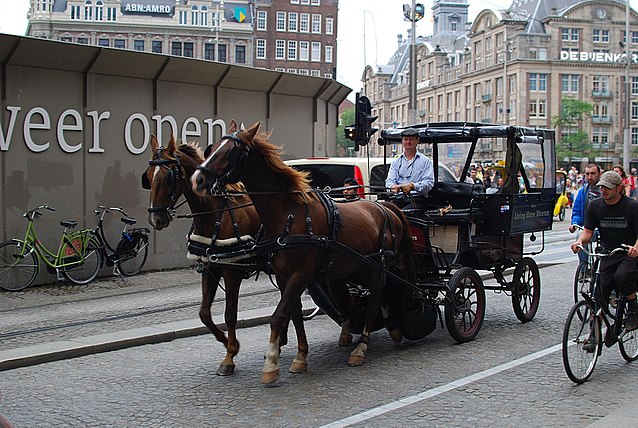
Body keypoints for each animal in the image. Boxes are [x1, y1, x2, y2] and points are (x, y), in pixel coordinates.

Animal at [141, 130, 262, 374]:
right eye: (148, 177)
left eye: (168, 178)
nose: (155, 219)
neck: (215, 214)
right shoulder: (209, 268)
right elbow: (204, 313)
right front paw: (227, 343)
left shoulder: (232, 272)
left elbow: (230, 315)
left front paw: (229, 356)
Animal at [190, 121, 416, 384]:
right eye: (212, 148)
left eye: (230, 152)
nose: (198, 180)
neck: (289, 215)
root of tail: (385, 206)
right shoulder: (284, 276)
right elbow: (295, 313)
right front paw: (300, 356)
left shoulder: (300, 275)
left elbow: (278, 315)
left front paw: (271, 364)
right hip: (358, 267)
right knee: (374, 297)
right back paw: (387, 330)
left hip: (376, 267)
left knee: (375, 300)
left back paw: (361, 348)